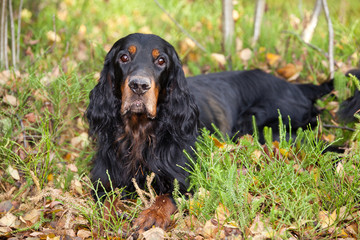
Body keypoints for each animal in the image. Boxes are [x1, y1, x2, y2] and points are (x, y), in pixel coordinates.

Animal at [86, 33, 334, 231]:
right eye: (124, 57)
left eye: (161, 61)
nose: (139, 86)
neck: (140, 131)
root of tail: (297, 86)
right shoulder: (102, 177)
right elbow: (106, 197)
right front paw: (109, 215)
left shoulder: (184, 178)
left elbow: (166, 197)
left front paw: (152, 215)